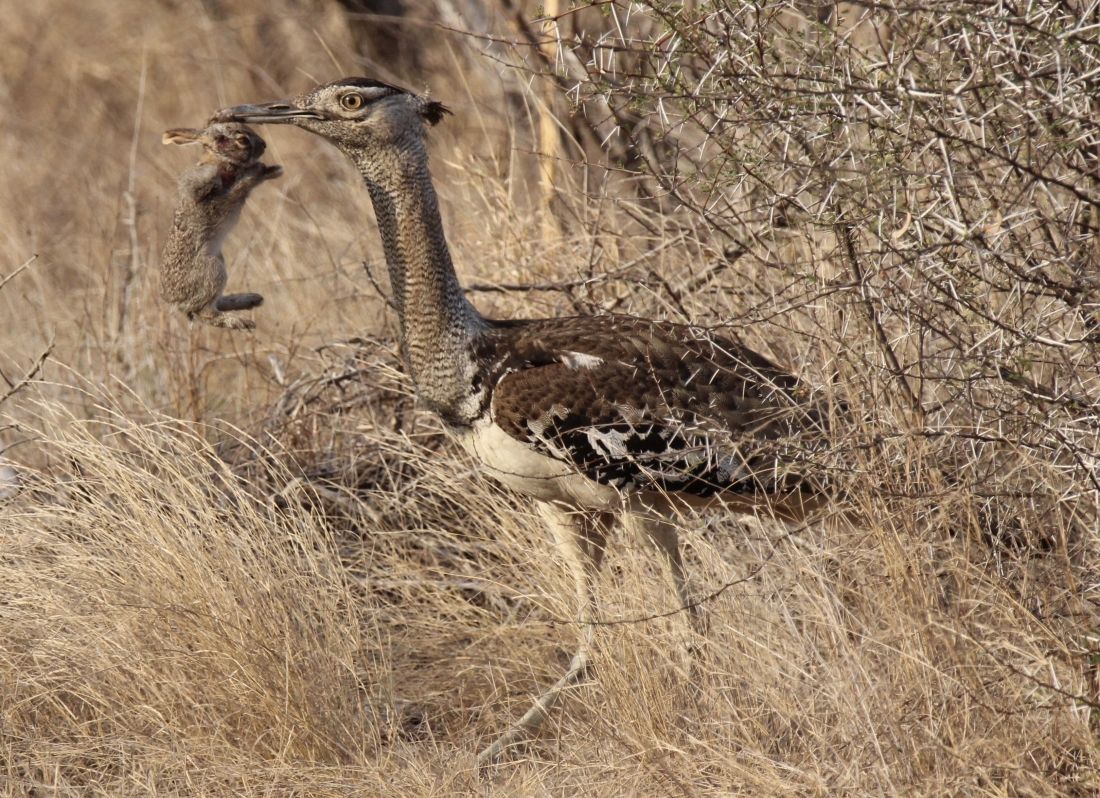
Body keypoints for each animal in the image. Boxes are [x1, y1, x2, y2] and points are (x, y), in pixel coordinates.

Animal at [160, 122, 282, 330]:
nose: (264, 145)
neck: (220, 161)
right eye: (242, 140)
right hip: (213, 269)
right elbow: (240, 187)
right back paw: (241, 321)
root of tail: (176, 302)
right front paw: (259, 171)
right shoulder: (215, 197)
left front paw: (271, 169)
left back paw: (251, 299)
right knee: (205, 313)